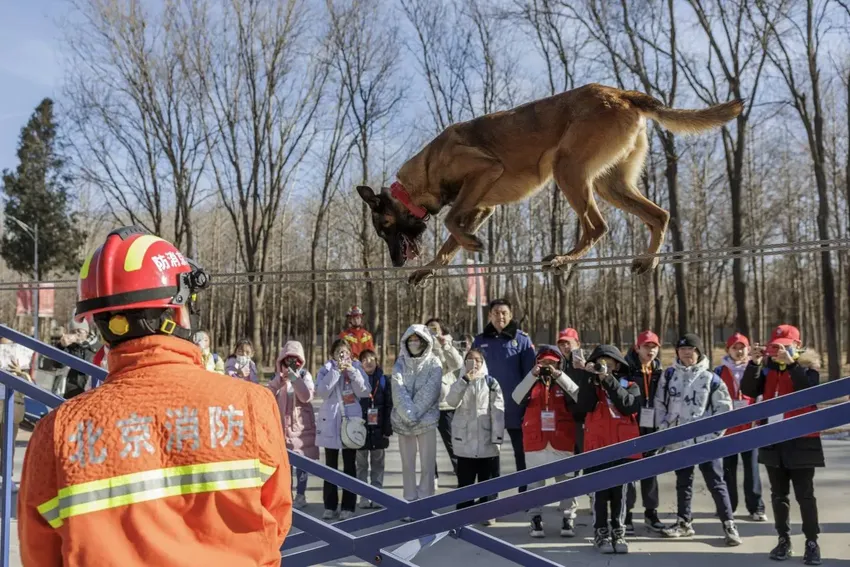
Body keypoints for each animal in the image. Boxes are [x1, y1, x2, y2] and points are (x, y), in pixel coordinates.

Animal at [354, 83, 740, 284]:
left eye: (384, 227)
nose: (396, 263)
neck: (422, 175)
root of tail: (621, 93)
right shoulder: (481, 206)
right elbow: (449, 242)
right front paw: (430, 267)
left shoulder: (483, 172)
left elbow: (450, 221)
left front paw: (471, 244)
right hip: (609, 184)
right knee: (658, 216)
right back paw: (647, 260)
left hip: (567, 170)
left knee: (597, 227)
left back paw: (564, 259)